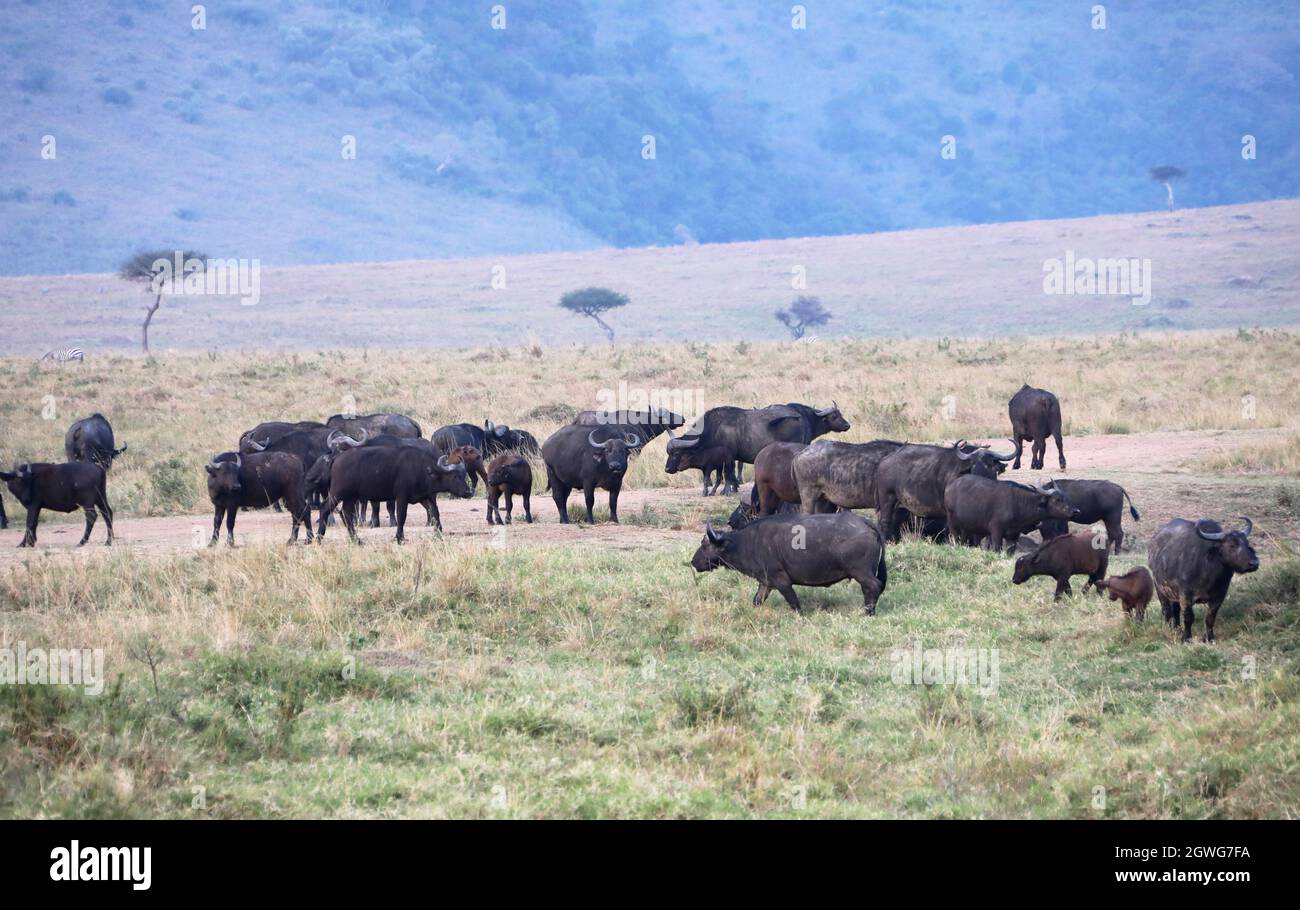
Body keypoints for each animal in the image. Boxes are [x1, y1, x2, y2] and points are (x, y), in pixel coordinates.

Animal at [317, 447, 475, 543]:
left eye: (464, 475)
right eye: (455, 476)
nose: (468, 492)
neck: (422, 469)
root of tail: (337, 458)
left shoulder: (425, 496)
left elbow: (435, 512)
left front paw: (438, 533)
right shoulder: (401, 497)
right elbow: (401, 516)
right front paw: (399, 537)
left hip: (350, 497)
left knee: (346, 513)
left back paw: (356, 540)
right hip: (337, 493)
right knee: (325, 508)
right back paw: (319, 537)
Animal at [691, 514, 883, 616]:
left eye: (704, 545)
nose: (693, 561)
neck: (746, 543)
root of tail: (866, 523)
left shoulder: (781, 581)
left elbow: (794, 603)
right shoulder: (765, 583)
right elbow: (757, 600)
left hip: (861, 572)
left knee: (875, 586)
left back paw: (869, 612)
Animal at [873, 441, 1013, 540]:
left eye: (990, 464)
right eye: (973, 464)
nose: (977, 474)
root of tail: (884, 461)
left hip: (898, 504)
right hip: (887, 498)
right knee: (884, 521)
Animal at [1149, 514, 1258, 642]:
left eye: (1247, 543)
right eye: (1232, 545)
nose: (1254, 563)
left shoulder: (1219, 596)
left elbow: (1210, 618)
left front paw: (1210, 638)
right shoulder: (1185, 595)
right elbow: (1188, 617)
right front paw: (1187, 637)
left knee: (1175, 610)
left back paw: (1177, 628)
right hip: (1159, 588)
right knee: (1166, 610)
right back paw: (1169, 629)